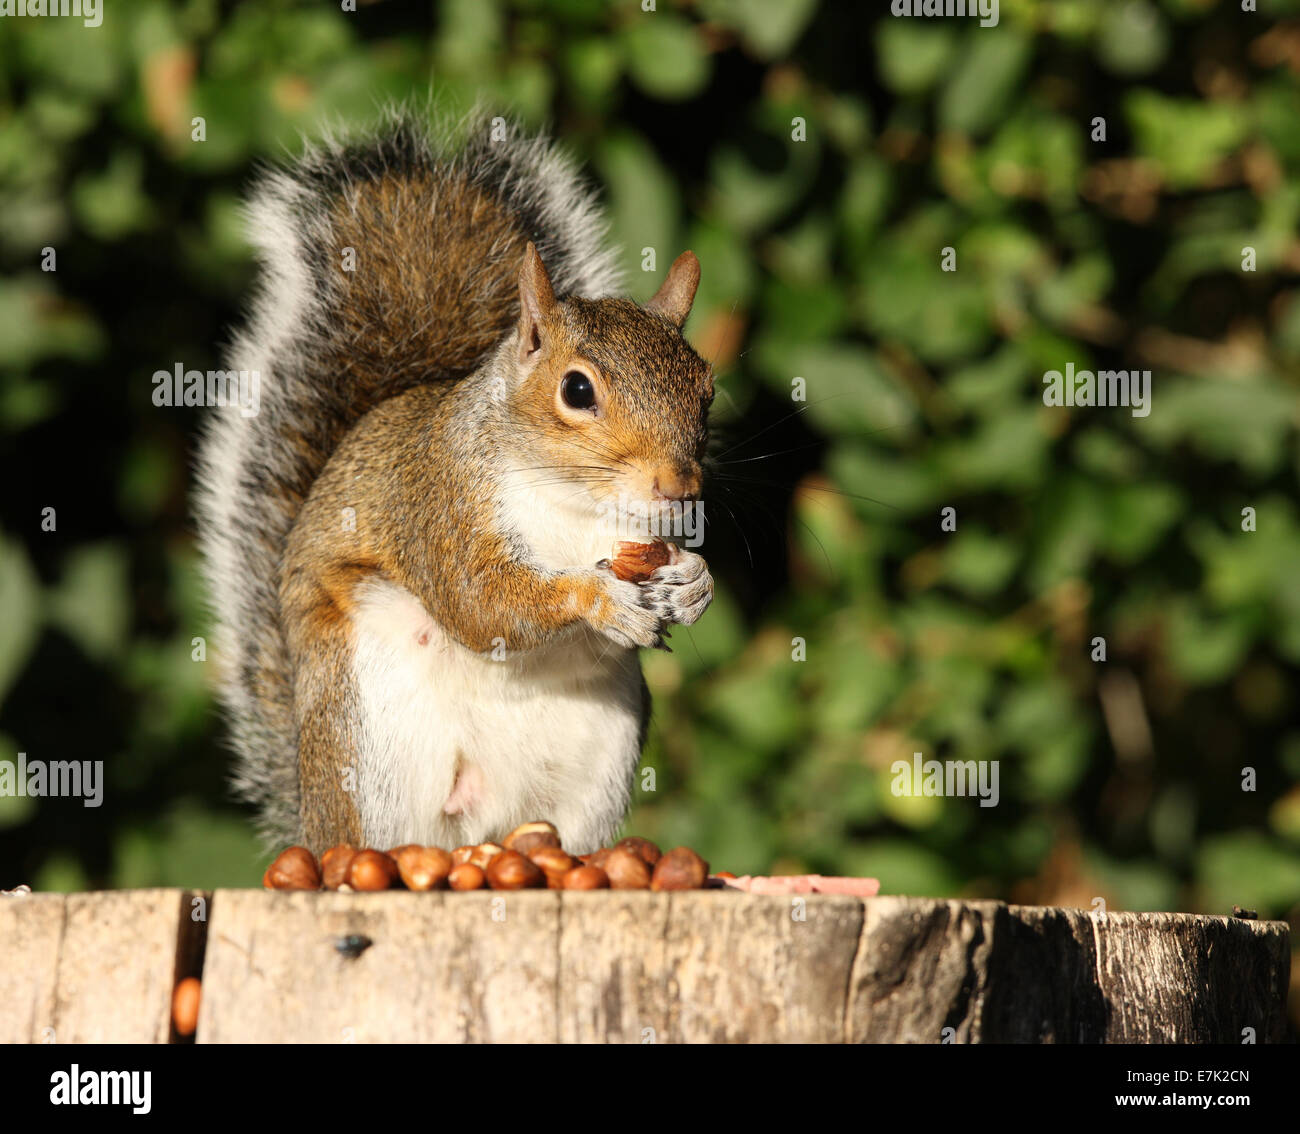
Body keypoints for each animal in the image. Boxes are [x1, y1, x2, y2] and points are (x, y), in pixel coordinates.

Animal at [196, 111, 715, 856]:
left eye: (707, 391)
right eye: (576, 390)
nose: (677, 487)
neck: (578, 504)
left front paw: (696, 582)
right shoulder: (441, 502)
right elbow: (480, 601)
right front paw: (598, 597)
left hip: (597, 763)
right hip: (367, 741)